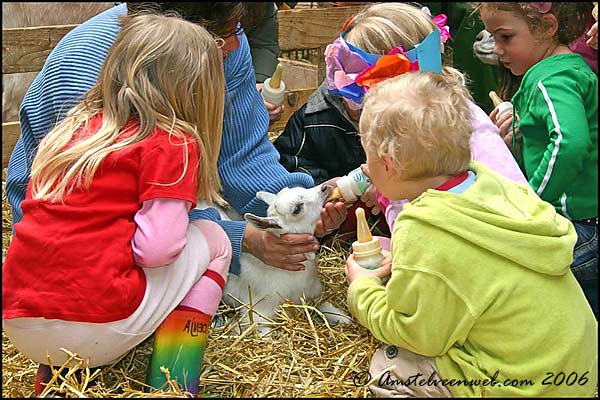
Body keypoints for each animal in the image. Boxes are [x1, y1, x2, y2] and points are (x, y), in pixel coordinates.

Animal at [223, 184, 350, 332]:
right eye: (297, 209)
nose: (324, 187)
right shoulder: (258, 315)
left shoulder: (314, 293)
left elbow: (329, 308)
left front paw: (345, 319)